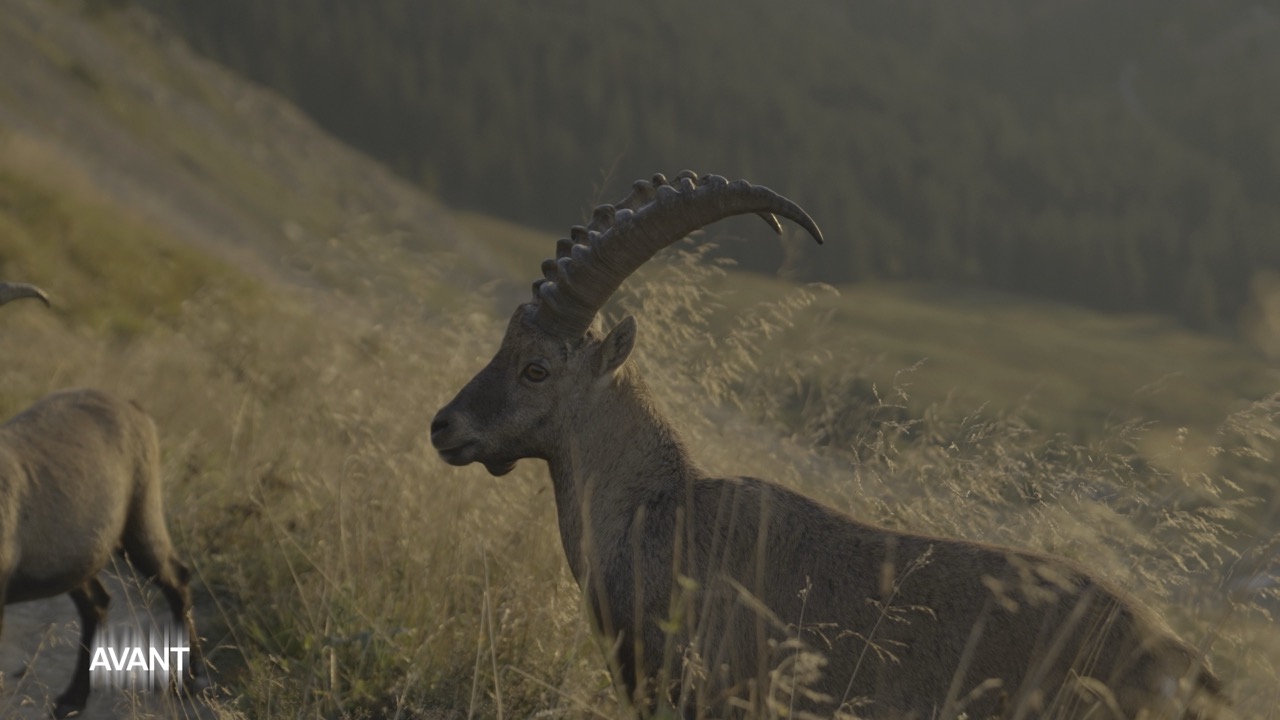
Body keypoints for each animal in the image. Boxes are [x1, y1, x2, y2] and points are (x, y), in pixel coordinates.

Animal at [0, 282, 202, 718]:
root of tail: (133, 407)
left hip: (141, 518)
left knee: (176, 576)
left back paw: (187, 681)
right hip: (80, 554)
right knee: (98, 602)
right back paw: (71, 700)